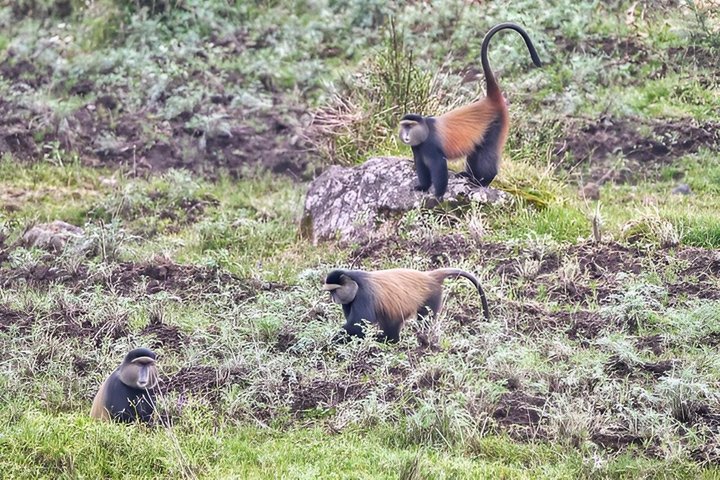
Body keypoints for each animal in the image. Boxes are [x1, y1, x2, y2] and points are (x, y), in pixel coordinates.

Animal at [323, 268, 490, 343]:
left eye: (334, 290)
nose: (333, 298)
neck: (354, 282)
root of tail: (430, 277)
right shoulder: (349, 301)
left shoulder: (363, 295)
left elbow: (359, 324)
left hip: (432, 297)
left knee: (425, 319)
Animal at [398, 23, 542, 198]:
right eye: (404, 126)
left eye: (410, 126)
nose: (406, 135)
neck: (424, 130)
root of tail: (491, 100)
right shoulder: (417, 149)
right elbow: (421, 168)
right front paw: (423, 186)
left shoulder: (432, 148)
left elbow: (439, 169)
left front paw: (438, 196)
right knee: (476, 152)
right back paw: (470, 176)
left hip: (495, 126)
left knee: (487, 155)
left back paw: (483, 181)